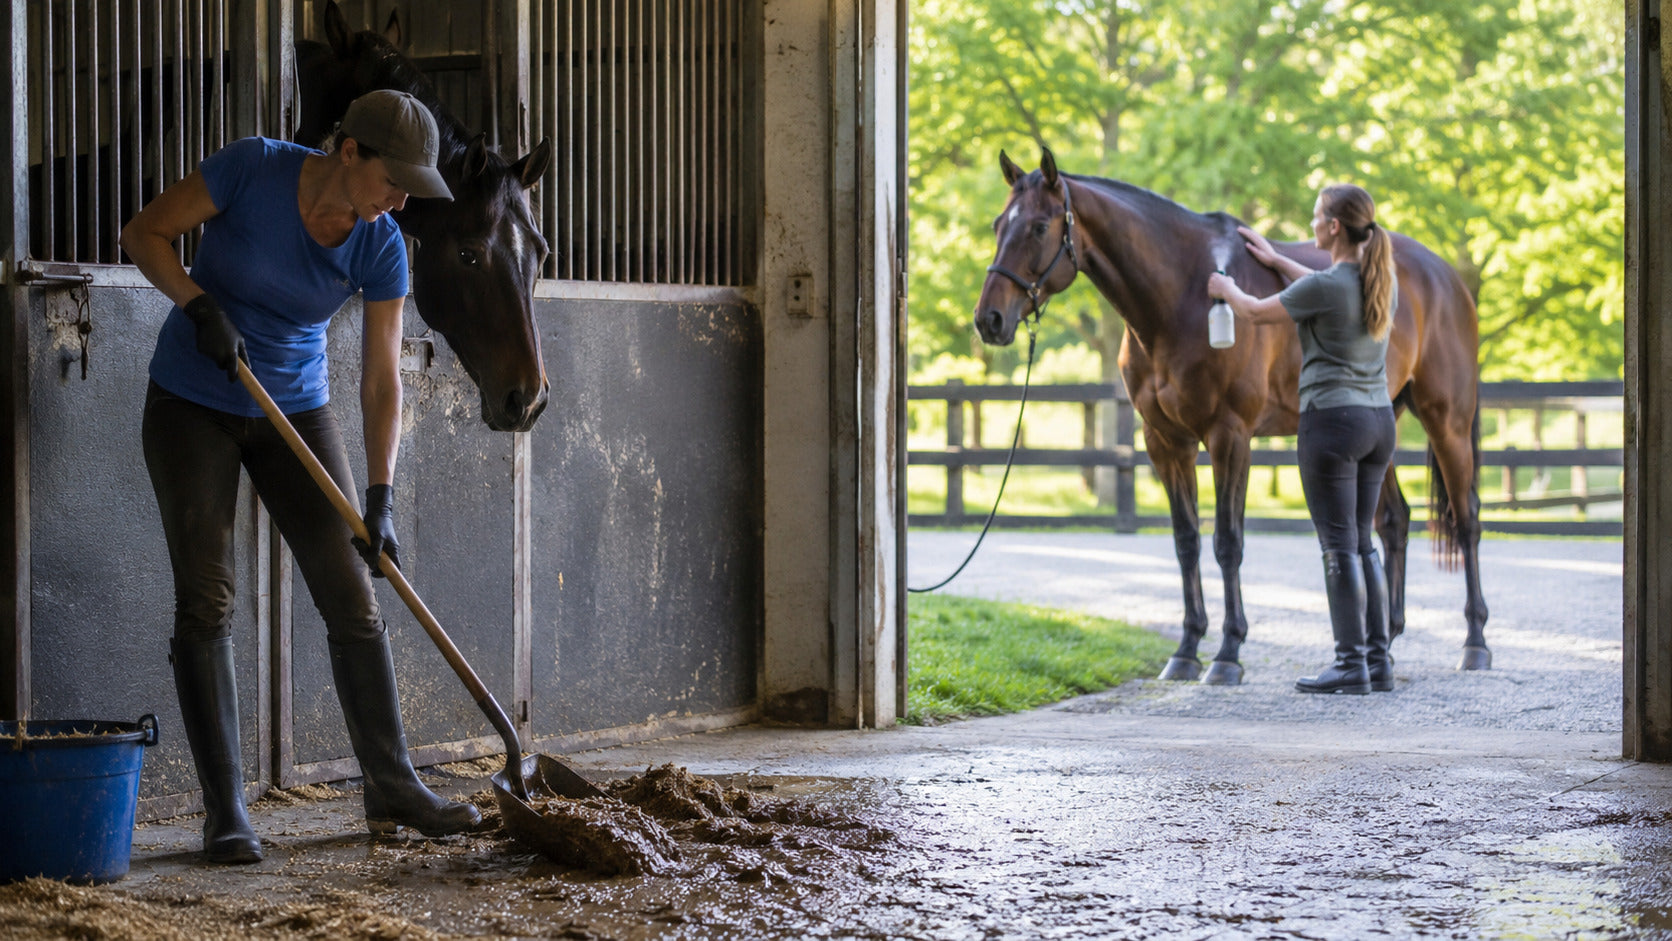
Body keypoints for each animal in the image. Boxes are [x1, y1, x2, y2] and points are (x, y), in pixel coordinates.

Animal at [974, 148, 1489, 683]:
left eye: (1038, 227)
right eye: (998, 224)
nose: (989, 320)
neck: (1179, 296)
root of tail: (1446, 277)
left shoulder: (1229, 437)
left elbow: (1227, 541)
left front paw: (1227, 652)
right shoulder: (1165, 443)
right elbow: (1186, 541)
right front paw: (1186, 649)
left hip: (1447, 421)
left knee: (1467, 520)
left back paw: (1474, 644)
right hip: (1377, 423)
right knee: (1392, 521)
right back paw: (1383, 641)